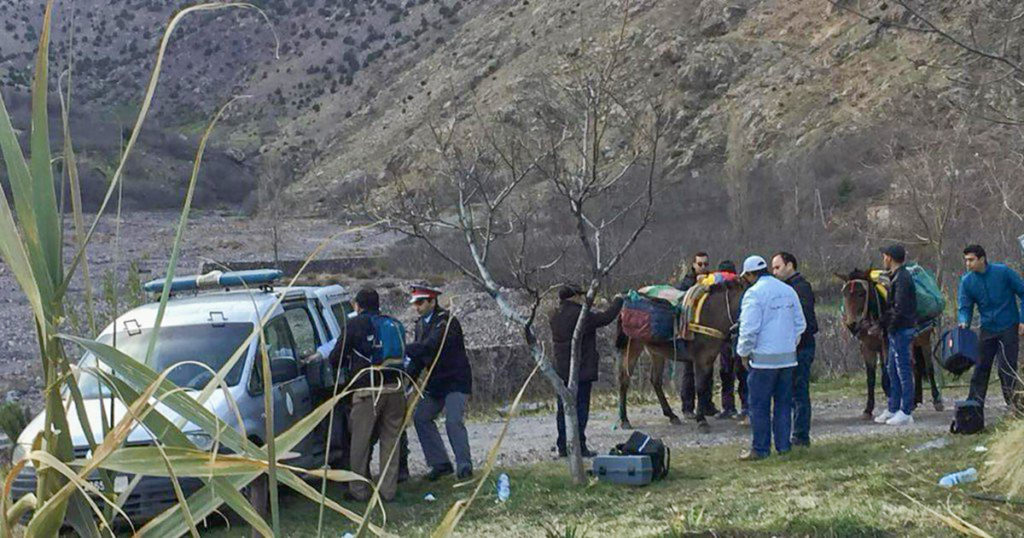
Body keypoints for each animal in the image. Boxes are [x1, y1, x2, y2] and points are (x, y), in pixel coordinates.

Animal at [614, 278, 745, 430]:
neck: (710, 314)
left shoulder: (709, 358)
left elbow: (705, 386)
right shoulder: (701, 359)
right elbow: (700, 387)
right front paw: (701, 420)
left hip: (656, 351)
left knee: (655, 380)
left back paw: (671, 415)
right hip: (633, 346)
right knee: (624, 379)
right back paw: (624, 419)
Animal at [835, 266, 937, 416]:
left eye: (861, 293)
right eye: (845, 293)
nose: (852, 324)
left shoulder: (886, 344)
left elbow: (886, 376)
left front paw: (891, 400)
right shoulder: (867, 347)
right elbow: (871, 378)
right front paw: (868, 408)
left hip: (924, 339)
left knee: (929, 367)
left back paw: (936, 399)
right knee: (915, 366)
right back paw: (915, 400)